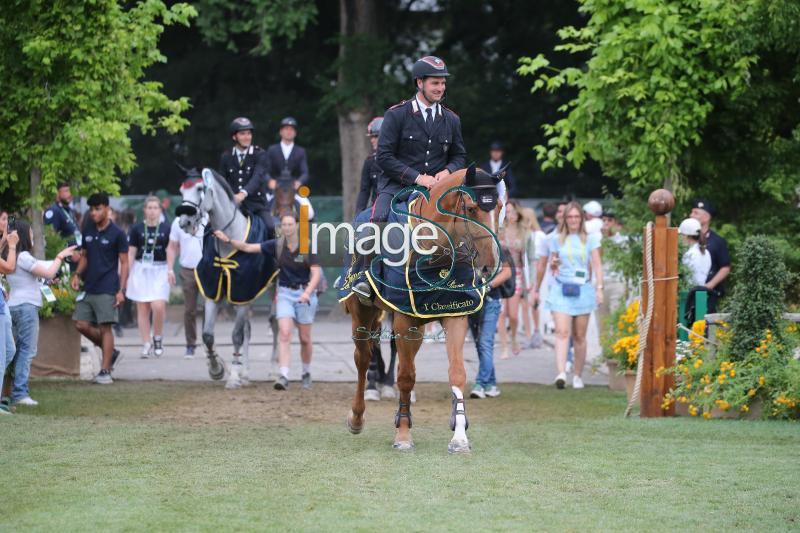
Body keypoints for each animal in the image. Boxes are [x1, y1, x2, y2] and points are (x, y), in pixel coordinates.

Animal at [342, 166, 500, 454]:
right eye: (472, 209)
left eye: (500, 207)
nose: (488, 266)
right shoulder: (405, 320)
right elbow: (405, 377)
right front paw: (403, 434)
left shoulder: (454, 315)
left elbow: (456, 373)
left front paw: (459, 436)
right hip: (362, 312)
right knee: (362, 358)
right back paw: (356, 417)